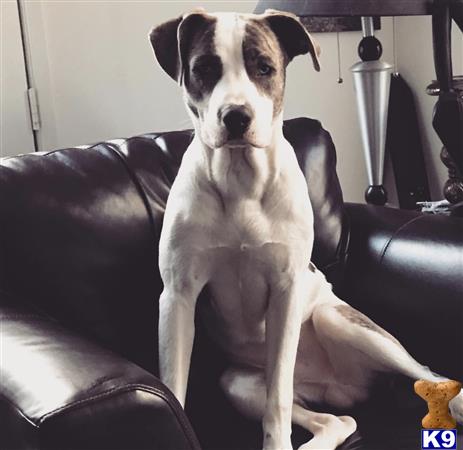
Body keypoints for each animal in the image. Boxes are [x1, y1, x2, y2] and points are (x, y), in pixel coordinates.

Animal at [150, 8, 462, 448]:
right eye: (204, 69)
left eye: (264, 67)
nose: (236, 117)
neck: (240, 179)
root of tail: (346, 388)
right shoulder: (178, 296)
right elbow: (175, 390)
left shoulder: (286, 289)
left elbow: (277, 399)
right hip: (239, 383)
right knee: (339, 420)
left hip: (341, 321)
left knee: (432, 376)